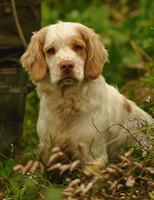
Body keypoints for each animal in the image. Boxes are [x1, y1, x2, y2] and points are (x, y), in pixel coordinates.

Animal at [20, 21, 153, 166]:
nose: (66, 65)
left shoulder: (93, 154)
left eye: (78, 47)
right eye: (50, 50)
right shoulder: (48, 151)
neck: (67, 104)